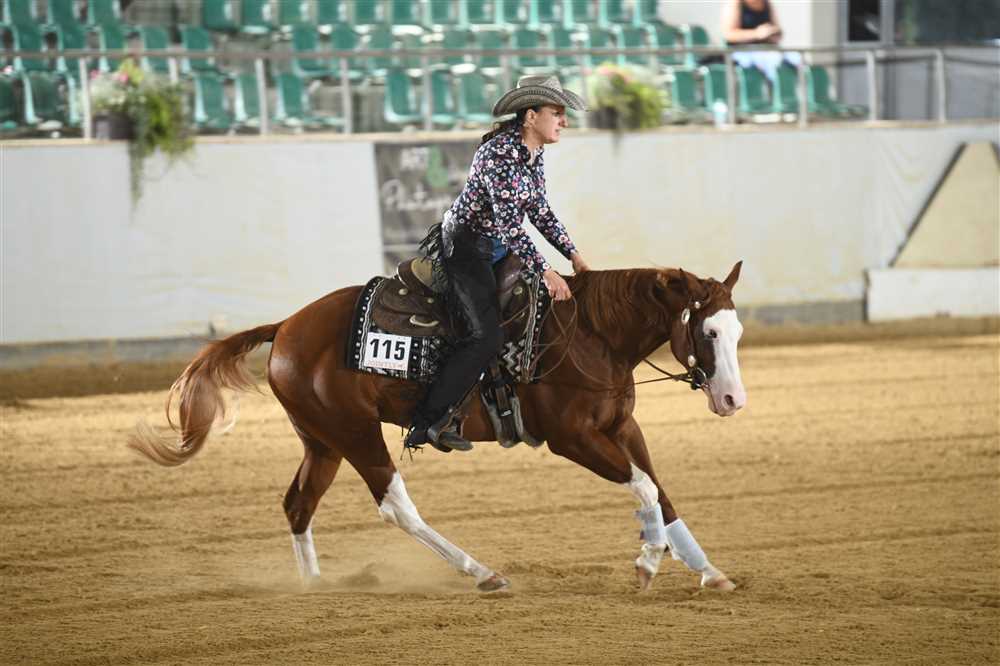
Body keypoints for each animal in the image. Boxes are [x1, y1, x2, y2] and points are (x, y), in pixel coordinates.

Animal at [129, 262, 747, 593]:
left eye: (736, 330)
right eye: (708, 332)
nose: (733, 399)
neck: (592, 335)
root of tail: (284, 327)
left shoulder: (622, 428)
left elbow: (660, 490)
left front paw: (709, 571)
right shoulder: (573, 440)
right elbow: (643, 488)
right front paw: (647, 562)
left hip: (322, 441)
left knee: (298, 504)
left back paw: (314, 584)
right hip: (356, 434)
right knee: (396, 507)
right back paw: (482, 572)